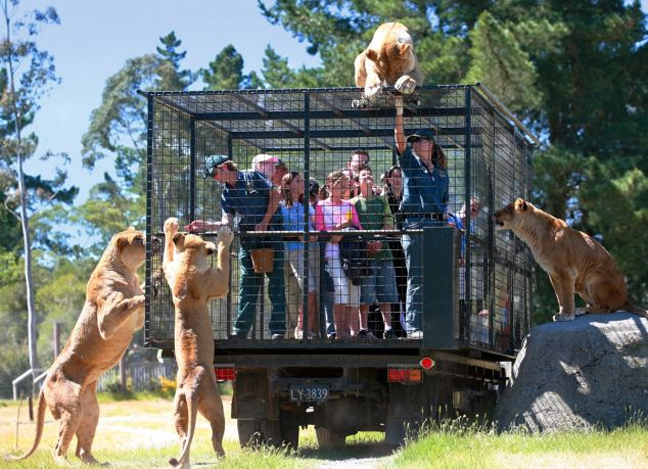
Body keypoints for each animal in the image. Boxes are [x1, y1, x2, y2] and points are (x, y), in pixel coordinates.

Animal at [6, 227, 146, 464]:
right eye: (138, 239)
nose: (152, 238)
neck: (127, 272)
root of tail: (44, 383)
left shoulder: (136, 323)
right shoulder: (106, 321)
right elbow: (129, 301)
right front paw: (146, 292)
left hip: (90, 411)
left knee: (81, 449)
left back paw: (97, 463)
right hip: (70, 409)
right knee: (58, 448)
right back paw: (65, 463)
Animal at [163, 218, 234, 466]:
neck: (188, 262)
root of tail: (191, 387)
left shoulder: (169, 270)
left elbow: (167, 250)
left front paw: (171, 226)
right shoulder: (218, 283)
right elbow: (223, 261)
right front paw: (224, 236)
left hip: (178, 410)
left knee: (185, 438)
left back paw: (182, 463)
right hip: (217, 408)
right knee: (215, 438)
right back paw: (226, 460)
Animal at [494, 197, 644, 322]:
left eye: (508, 208)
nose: (494, 213)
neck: (532, 235)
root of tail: (626, 299)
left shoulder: (566, 271)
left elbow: (566, 295)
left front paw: (567, 315)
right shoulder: (553, 274)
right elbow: (559, 295)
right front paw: (561, 313)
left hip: (594, 275)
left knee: (606, 308)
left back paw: (580, 310)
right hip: (582, 286)